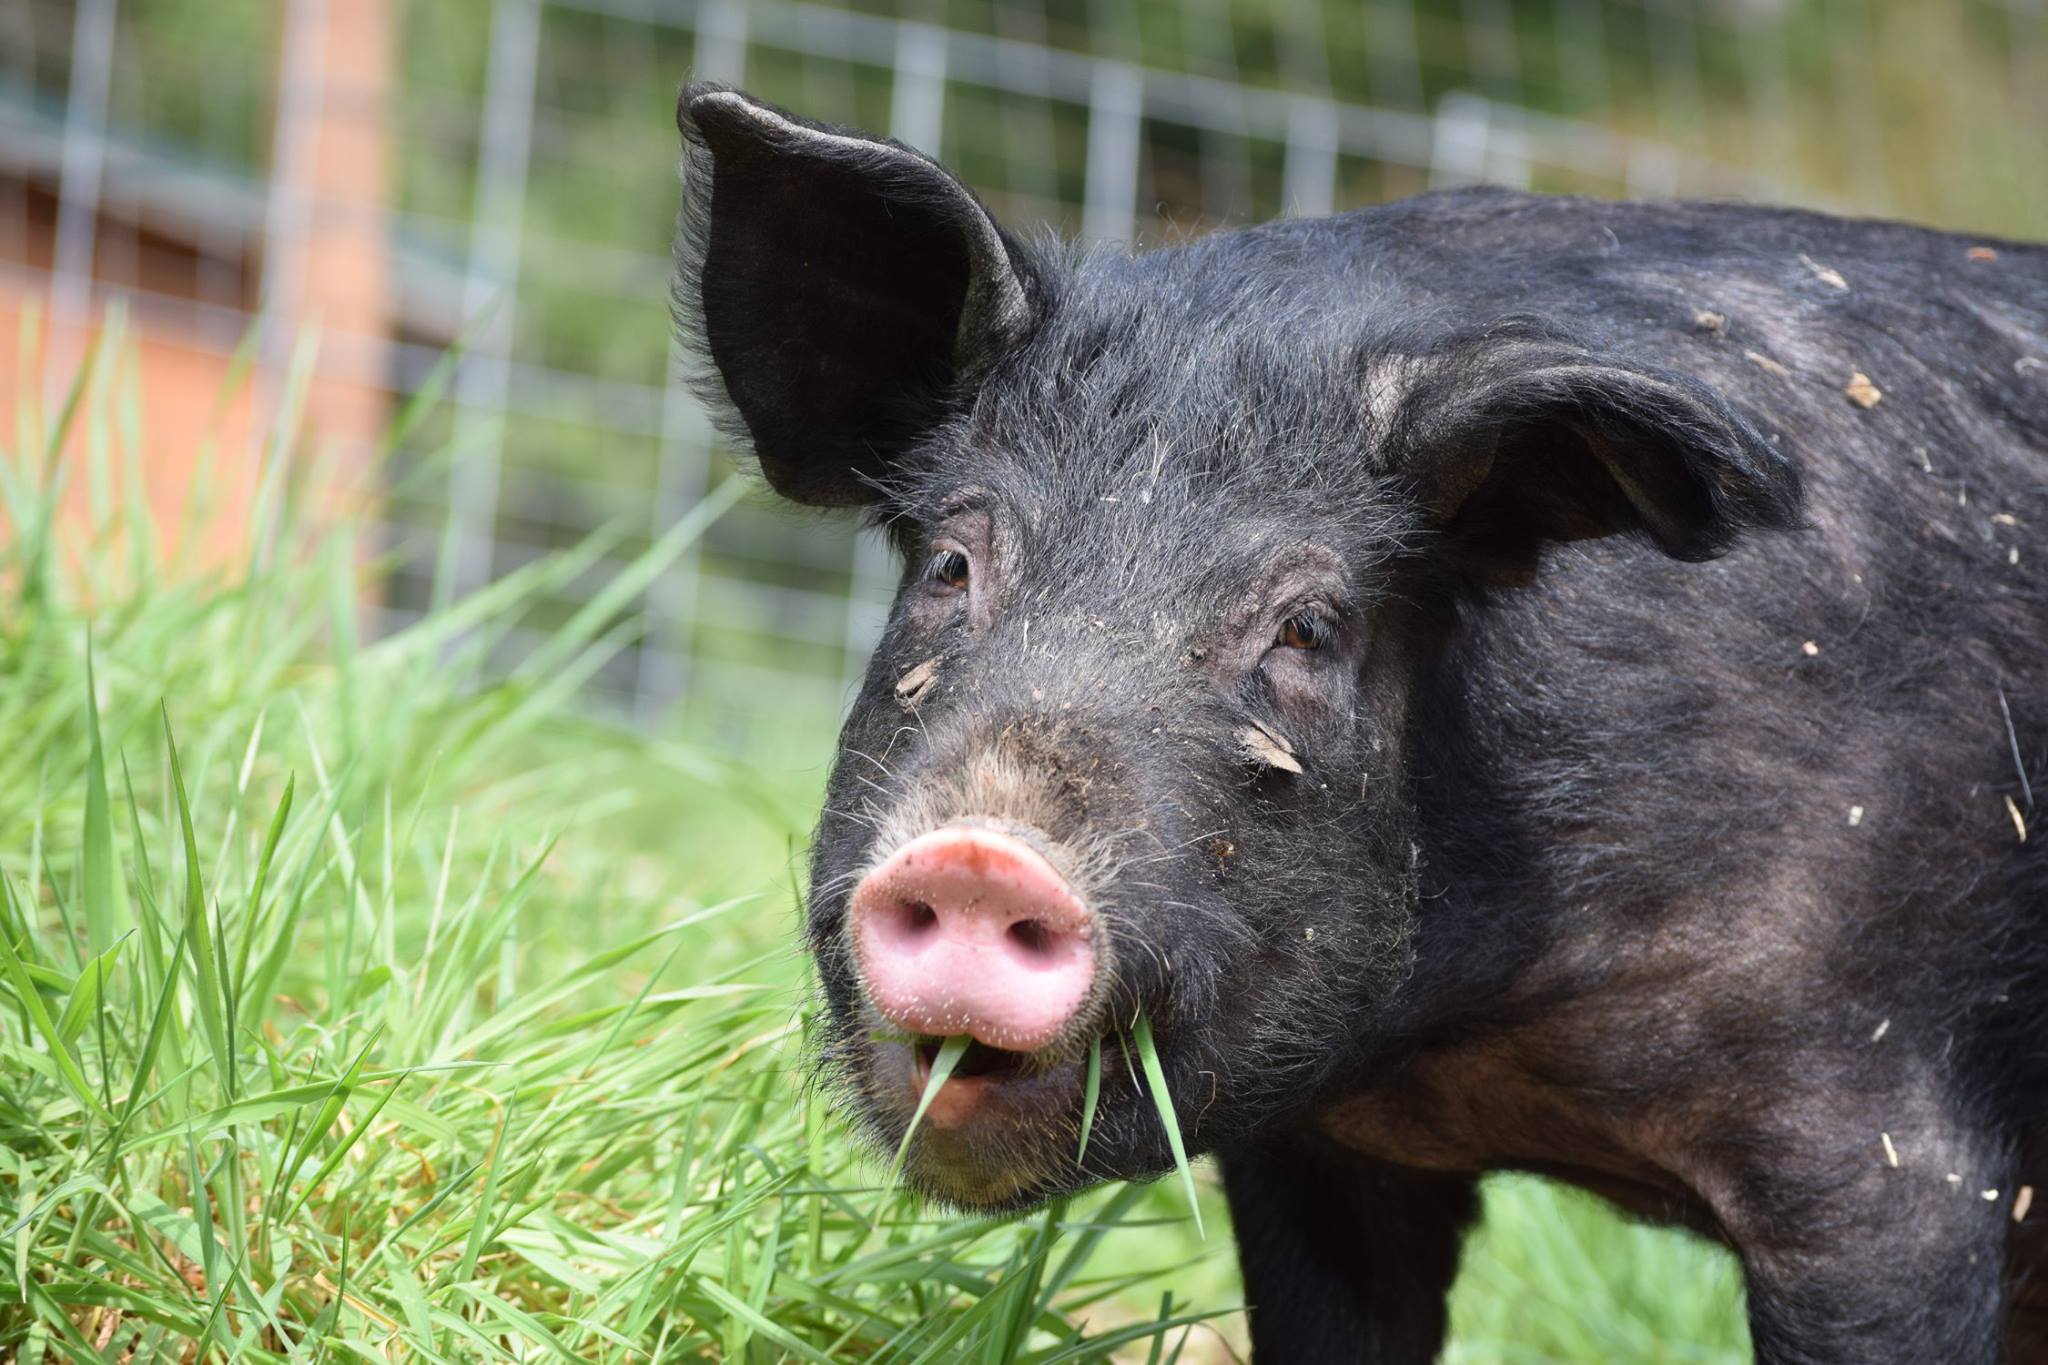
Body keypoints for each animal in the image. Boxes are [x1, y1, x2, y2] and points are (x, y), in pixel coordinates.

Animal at [670, 83, 2048, 1364]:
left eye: (1307, 628)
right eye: (952, 565)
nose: (977, 855)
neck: (1455, 1040)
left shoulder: (1894, 1160)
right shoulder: (1319, 1162)